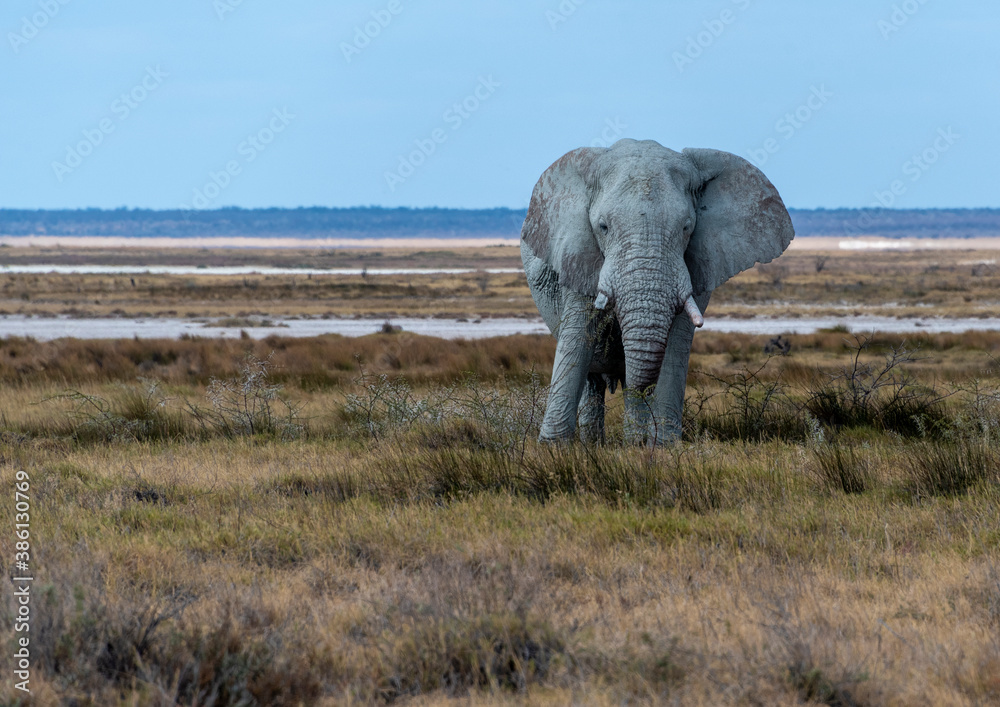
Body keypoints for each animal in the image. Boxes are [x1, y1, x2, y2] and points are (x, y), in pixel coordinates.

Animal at [520, 138, 794, 444]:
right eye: (603, 227)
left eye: (687, 227)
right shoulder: (577, 253)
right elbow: (579, 336)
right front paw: (554, 448)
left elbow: (676, 343)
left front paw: (664, 446)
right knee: (593, 378)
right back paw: (596, 443)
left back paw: (634, 442)